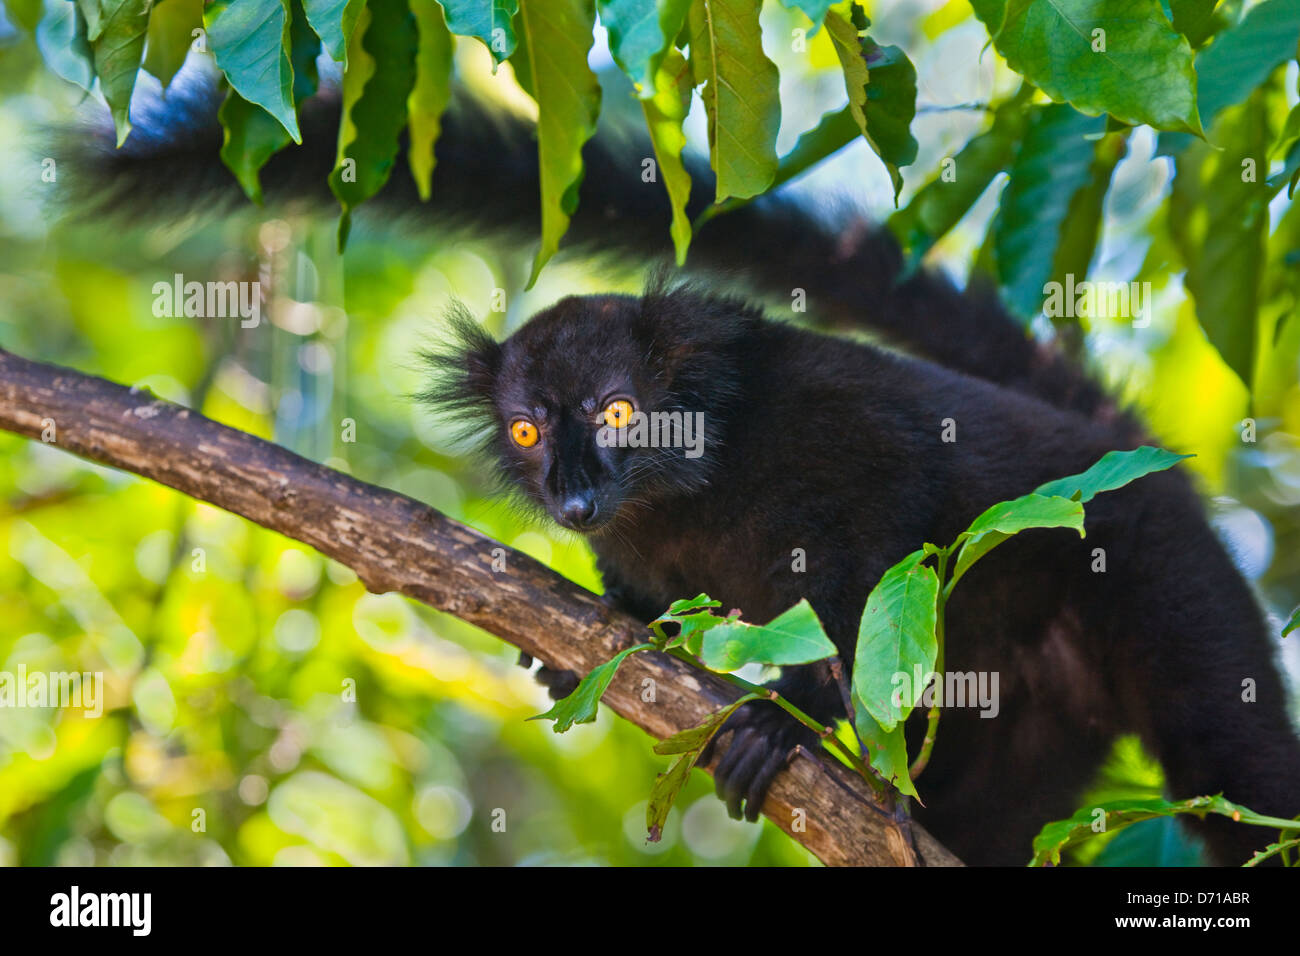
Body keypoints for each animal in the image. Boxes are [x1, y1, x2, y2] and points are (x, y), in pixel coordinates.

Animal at [62, 80, 1300, 866]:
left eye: (618, 412)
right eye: (526, 431)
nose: (572, 495)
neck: (684, 495)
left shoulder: (837, 432)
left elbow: (888, 546)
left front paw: (787, 723)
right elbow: (644, 602)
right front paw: (591, 642)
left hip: (1162, 577)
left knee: (1236, 764)